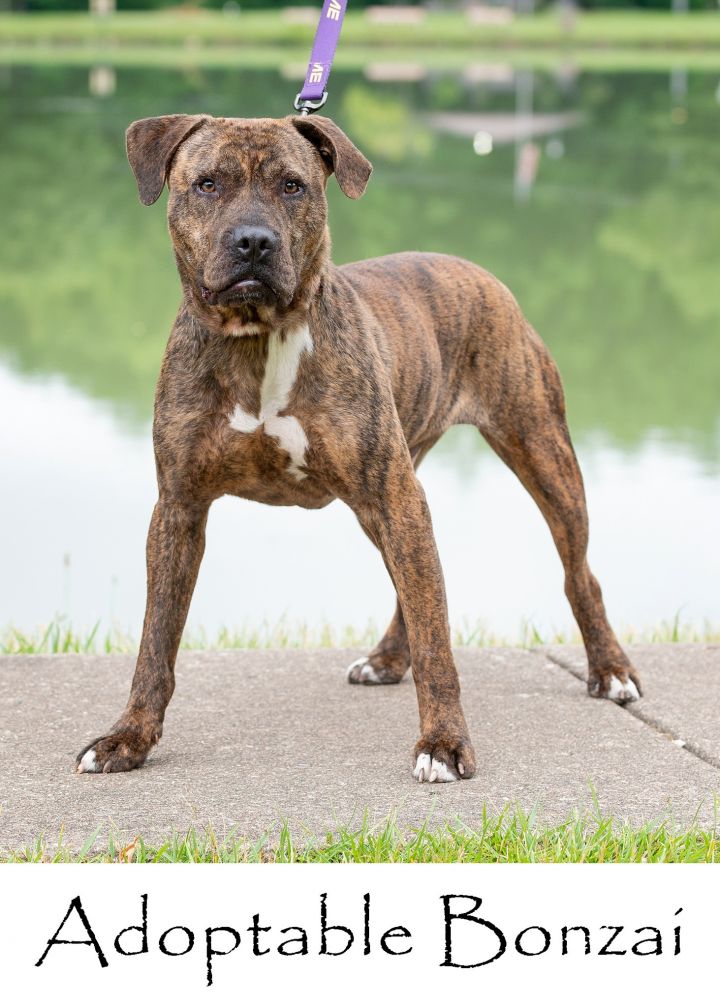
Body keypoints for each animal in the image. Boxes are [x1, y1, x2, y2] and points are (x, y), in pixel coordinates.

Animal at [77, 114, 640, 781]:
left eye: (292, 185)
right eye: (207, 183)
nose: (253, 242)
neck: (258, 340)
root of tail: (481, 272)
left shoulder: (396, 497)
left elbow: (437, 640)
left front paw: (444, 744)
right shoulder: (179, 509)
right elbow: (155, 640)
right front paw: (128, 737)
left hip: (538, 452)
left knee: (579, 573)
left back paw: (610, 670)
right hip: (389, 500)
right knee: (412, 585)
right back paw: (388, 658)